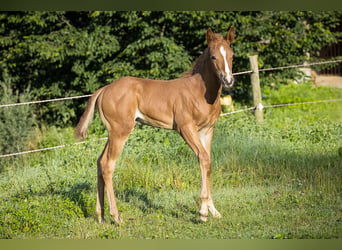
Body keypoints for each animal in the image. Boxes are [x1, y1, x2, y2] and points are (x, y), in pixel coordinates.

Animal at [75, 26, 235, 223]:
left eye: (232, 55)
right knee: (107, 164)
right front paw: (203, 213)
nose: (228, 81)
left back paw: (101, 215)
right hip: (120, 131)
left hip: (112, 132)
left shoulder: (207, 130)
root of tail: (104, 89)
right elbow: (203, 158)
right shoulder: (185, 128)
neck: (200, 92)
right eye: (213, 56)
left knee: (99, 161)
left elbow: (207, 162)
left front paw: (213, 211)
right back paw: (116, 216)